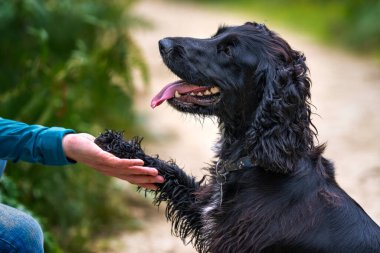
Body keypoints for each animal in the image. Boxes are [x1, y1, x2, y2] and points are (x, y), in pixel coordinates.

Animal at [95, 22, 380, 252]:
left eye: (228, 51)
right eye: (215, 36)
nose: (163, 44)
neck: (255, 160)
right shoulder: (204, 210)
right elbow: (170, 173)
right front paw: (119, 146)